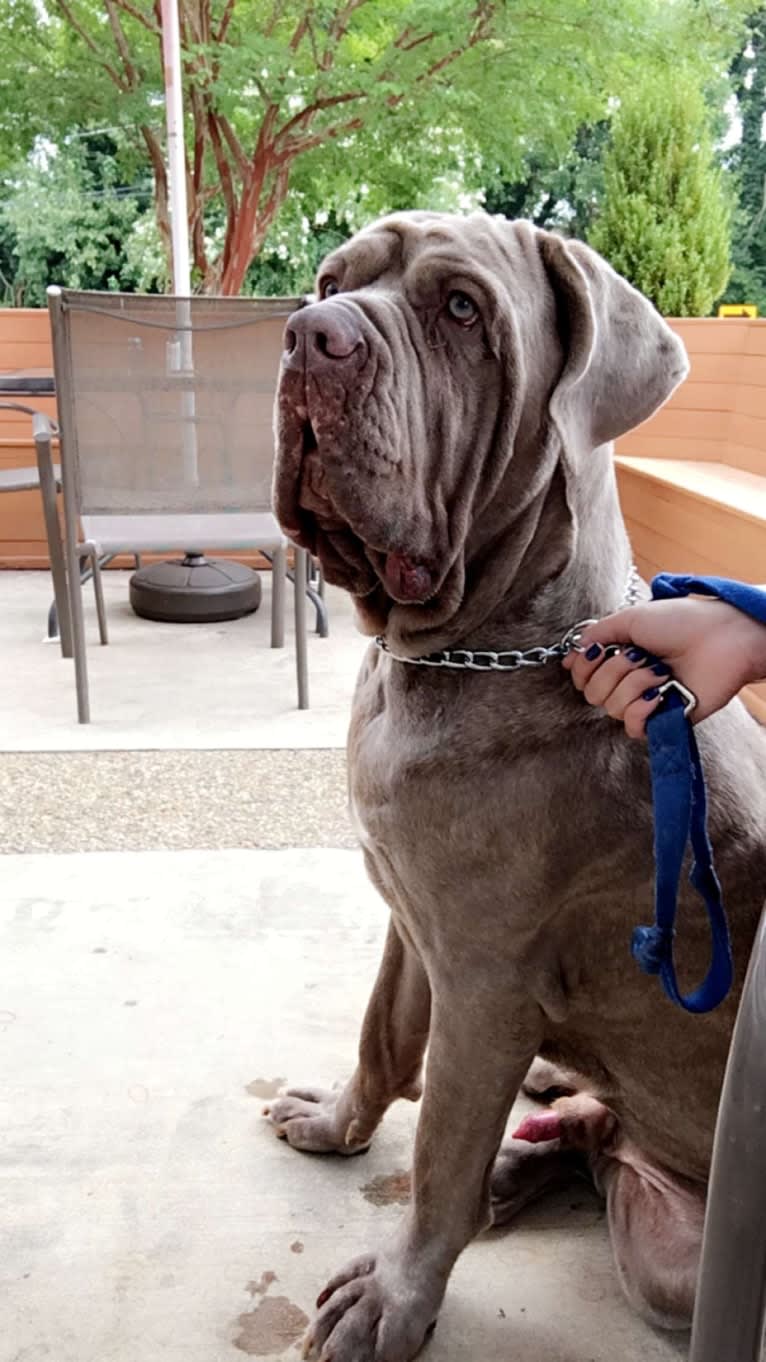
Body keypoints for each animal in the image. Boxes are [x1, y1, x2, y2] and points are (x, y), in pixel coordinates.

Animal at [267, 212, 763, 1362]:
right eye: (328, 282)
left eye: (460, 310)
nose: (310, 337)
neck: (467, 649)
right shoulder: (414, 922)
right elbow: (382, 1038)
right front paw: (335, 1123)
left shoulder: (484, 981)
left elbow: (441, 1146)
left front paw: (393, 1303)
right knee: (589, 1133)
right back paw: (528, 1141)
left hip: (677, 1264)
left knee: (581, 1151)